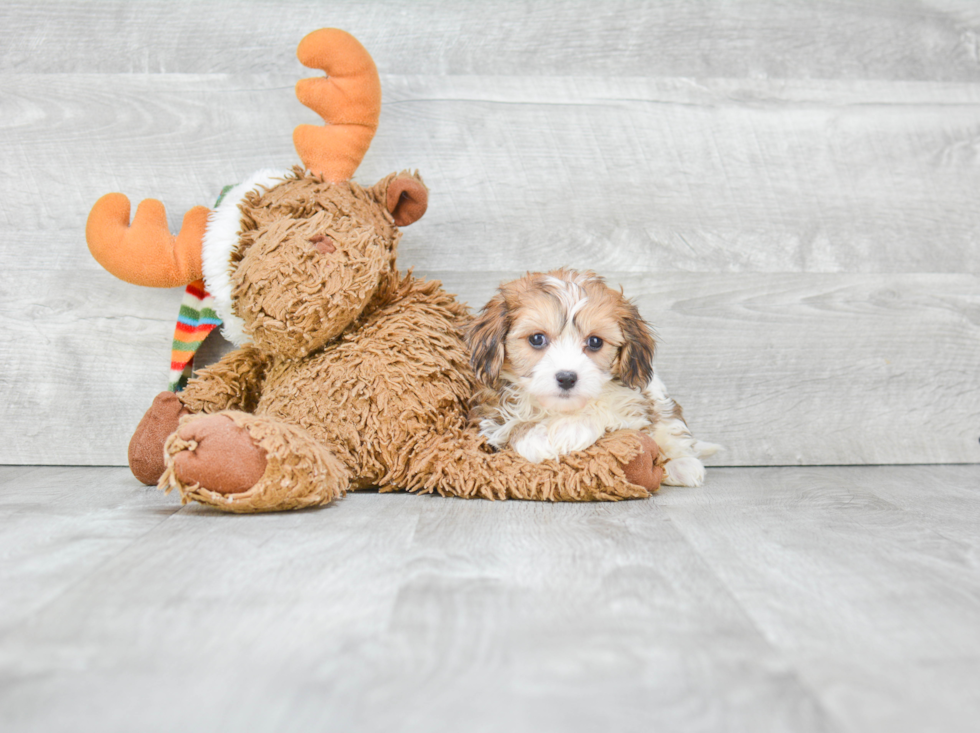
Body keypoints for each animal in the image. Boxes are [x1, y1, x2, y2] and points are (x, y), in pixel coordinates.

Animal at [468, 268, 720, 486]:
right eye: (537, 339)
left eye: (595, 341)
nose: (567, 378)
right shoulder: (491, 414)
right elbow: (510, 427)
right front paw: (536, 438)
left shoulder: (633, 408)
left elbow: (603, 411)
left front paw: (569, 429)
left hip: (661, 401)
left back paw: (682, 465)